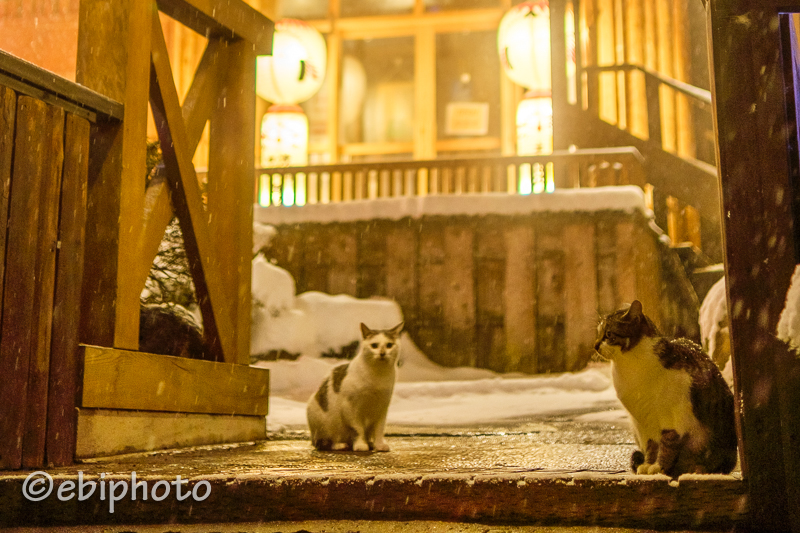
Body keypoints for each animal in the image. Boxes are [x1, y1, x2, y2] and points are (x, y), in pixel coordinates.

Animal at [308, 322, 404, 450]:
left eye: (389, 345)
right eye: (374, 345)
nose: (382, 353)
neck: (378, 374)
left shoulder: (382, 407)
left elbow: (379, 429)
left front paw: (379, 445)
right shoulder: (350, 407)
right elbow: (358, 429)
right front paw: (361, 444)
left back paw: (369, 443)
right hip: (320, 417)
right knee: (326, 441)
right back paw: (340, 445)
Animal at [592, 300, 736, 478]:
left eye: (609, 334)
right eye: (598, 333)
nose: (595, 345)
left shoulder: (673, 418)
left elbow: (667, 444)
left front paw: (658, 467)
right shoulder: (643, 423)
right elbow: (651, 446)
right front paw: (648, 465)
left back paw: (697, 469)